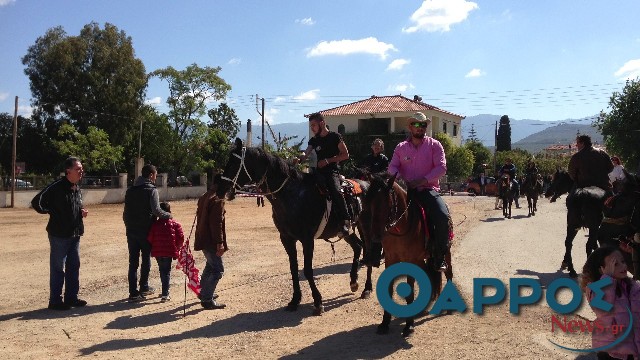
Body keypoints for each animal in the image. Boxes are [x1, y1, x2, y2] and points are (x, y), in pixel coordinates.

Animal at [364, 173, 450, 336]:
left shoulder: (411, 260)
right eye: (369, 201)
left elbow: (409, 293)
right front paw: (384, 323)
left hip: (445, 253)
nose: (375, 236)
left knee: (449, 274)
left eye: (387, 203)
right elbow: (389, 289)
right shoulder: (390, 259)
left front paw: (409, 325)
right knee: (429, 274)